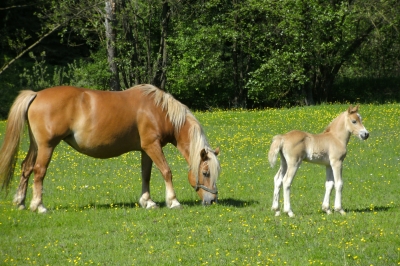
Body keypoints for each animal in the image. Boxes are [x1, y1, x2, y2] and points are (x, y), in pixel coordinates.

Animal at [0, 84, 222, 213]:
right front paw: (173, 201)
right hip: (47, 146)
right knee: (39, 172)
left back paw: (20, 202)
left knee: (26, 168)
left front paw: (147, 202)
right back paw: (38, 205)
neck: (158, 110)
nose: (212, 200)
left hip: (36, 145)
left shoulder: (146, 149)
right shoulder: (152, 146)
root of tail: (36, 95)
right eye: (205, 172)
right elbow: (166, 171)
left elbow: (146, 175)